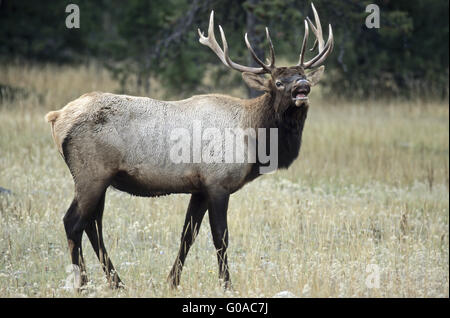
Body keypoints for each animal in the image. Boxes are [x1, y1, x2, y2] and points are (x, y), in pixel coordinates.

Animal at [45, 3, 332, 290]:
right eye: (278, 82)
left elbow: (188, 235)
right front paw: (226, 284)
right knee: (73, 222)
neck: (254, 138)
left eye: (302, 75)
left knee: (93, 225)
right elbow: (220, 238)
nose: (303, 86)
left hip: (101, 178)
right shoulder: (218, 182)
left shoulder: (200, 188)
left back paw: (117, 282)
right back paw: (83, 283)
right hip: (90, 173)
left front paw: (172, 281)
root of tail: (56, 118)